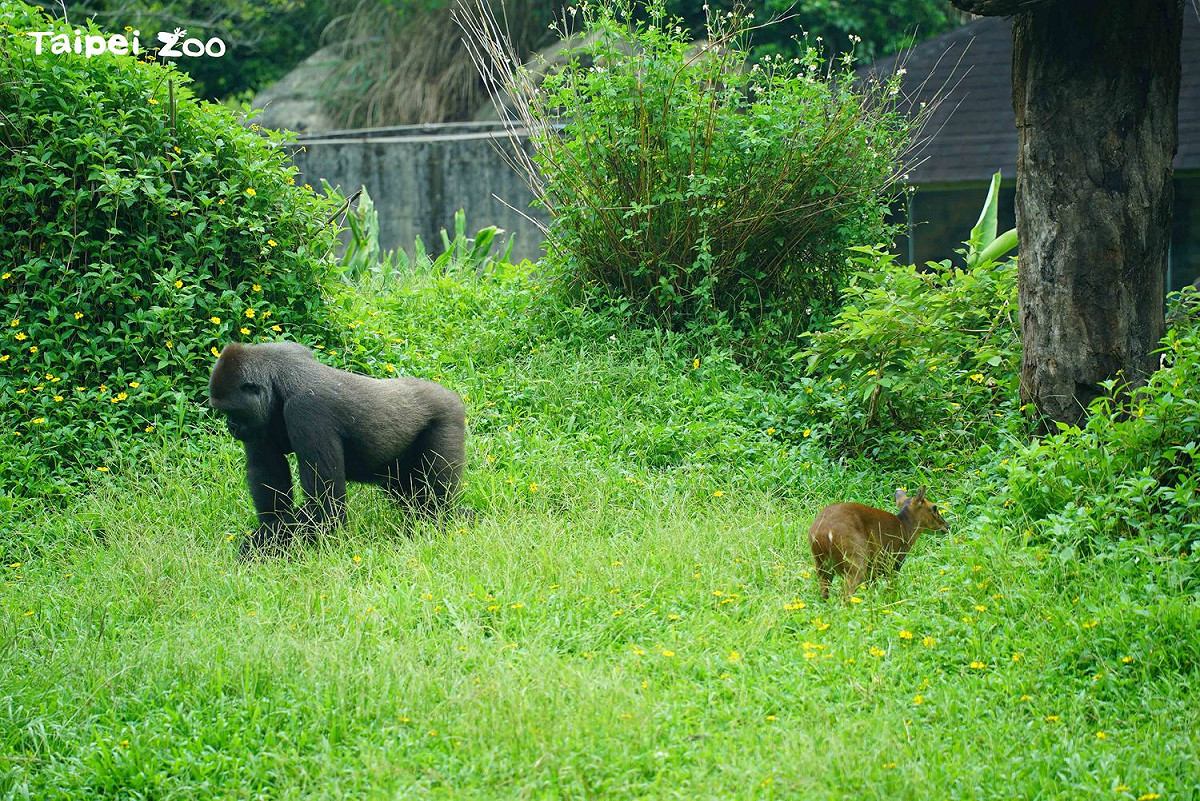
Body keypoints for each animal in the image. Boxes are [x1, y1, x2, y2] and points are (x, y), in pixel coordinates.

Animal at [208, 341, 466, 557]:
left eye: (232, 411)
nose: (231, 427)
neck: (279, 378)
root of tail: (452, 395)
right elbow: (268, 473)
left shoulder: (306, 411)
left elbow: (326, 507)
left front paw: (258, 544)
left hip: (447, 420)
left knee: (436, 505)